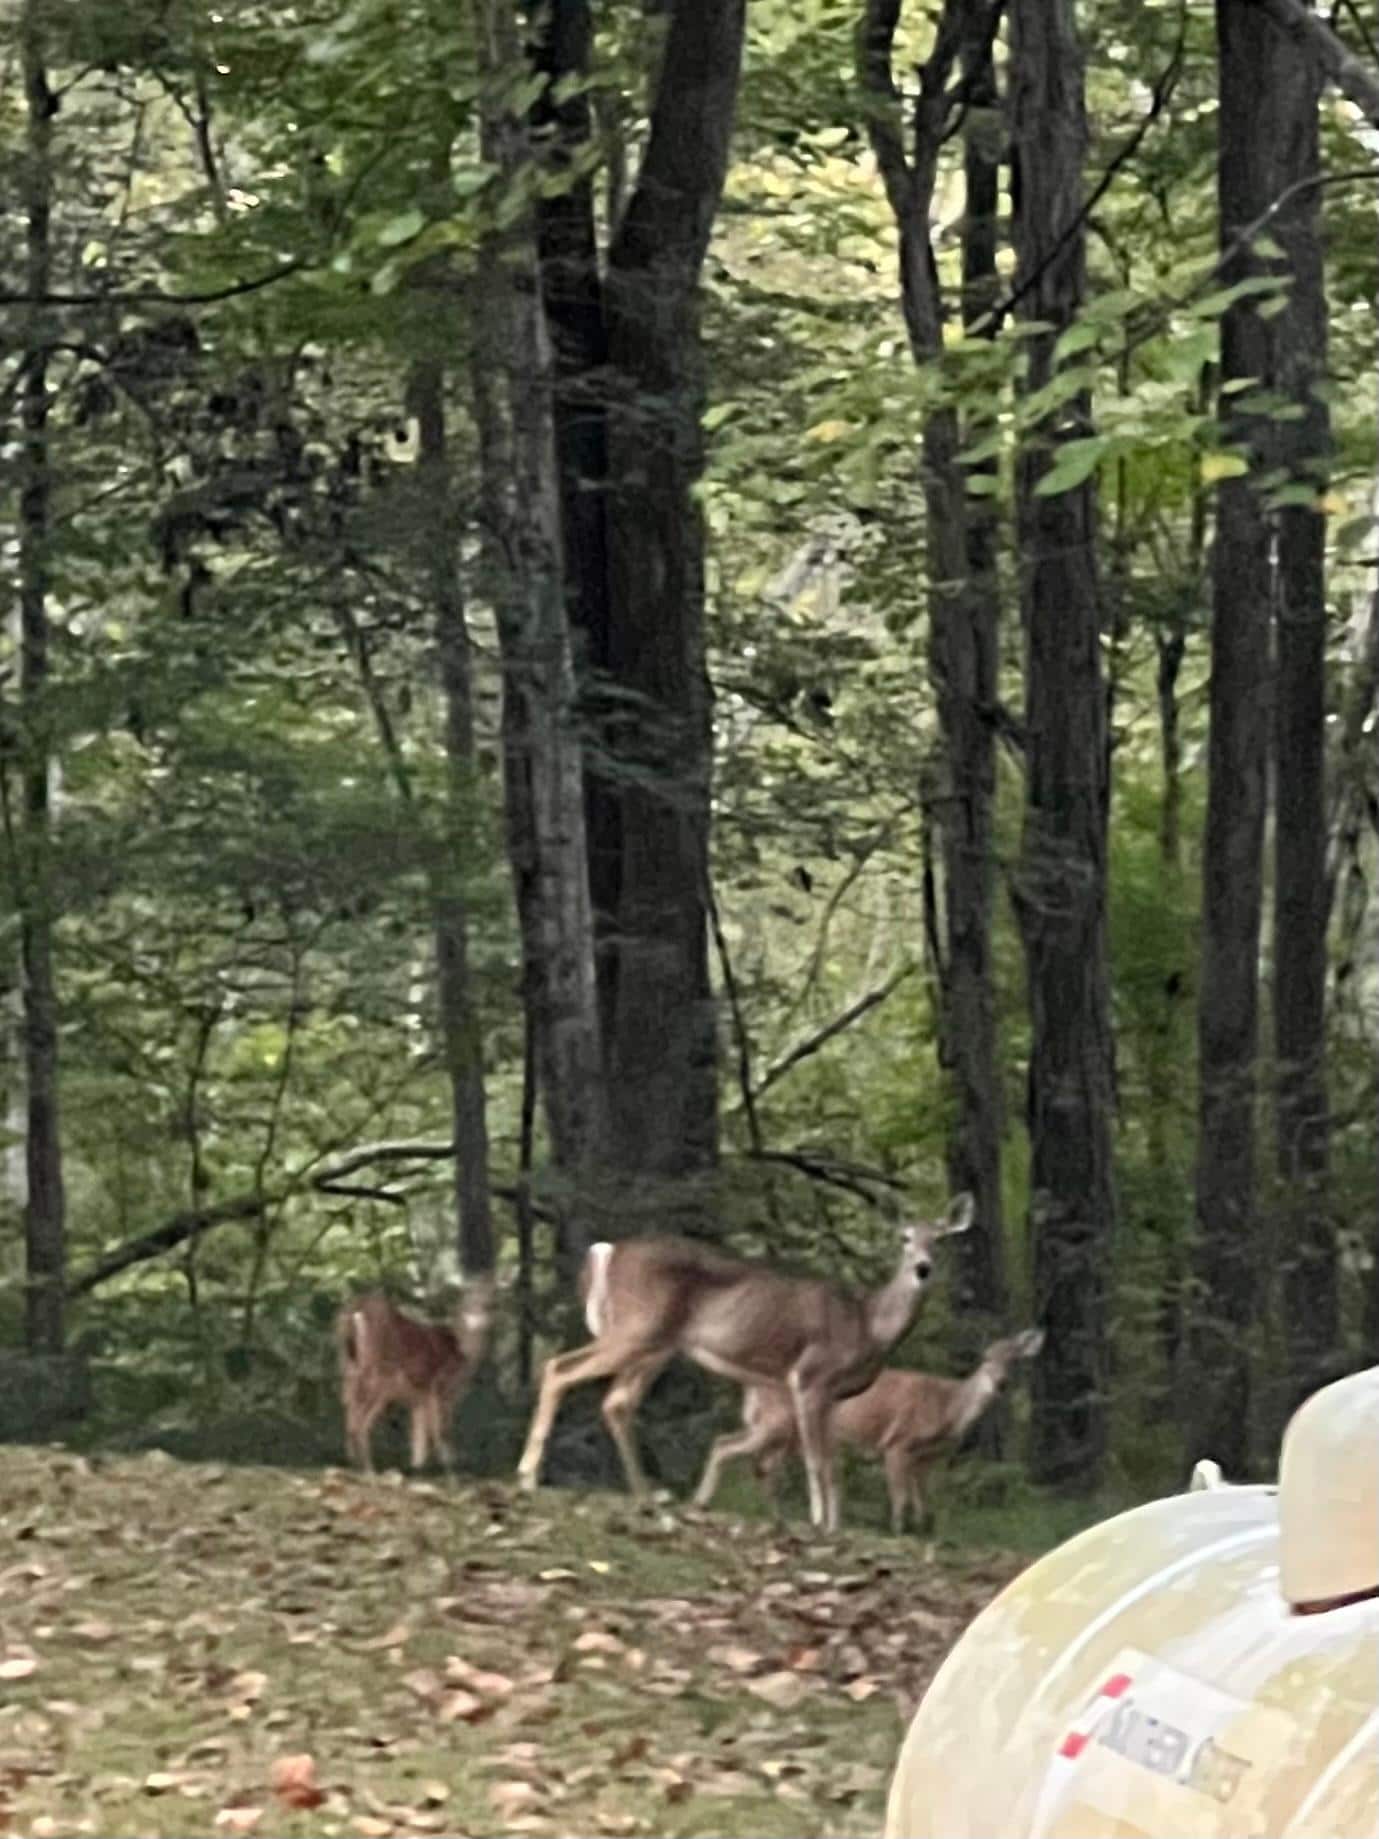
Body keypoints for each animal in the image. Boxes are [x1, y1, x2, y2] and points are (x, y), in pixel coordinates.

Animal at [337, 1277, 493, 1476]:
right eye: (466, 1300)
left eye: (490, 1301)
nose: (478, 1320)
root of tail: (356, 1311)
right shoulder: (441, 1389)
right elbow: (441, 1430)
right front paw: (449, 1468)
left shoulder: (418, 1397)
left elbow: (419, 1437)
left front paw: (417, 1469)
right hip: (379, 1375)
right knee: (359, 1421)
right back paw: (368, 1469)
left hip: (348, 1367)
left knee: (349, 1411)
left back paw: (352, 1463)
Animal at [515, 1194, 974, 1532]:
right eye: (904, 1238)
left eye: (940, 1239)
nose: (923, 1268)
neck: (867, 1325)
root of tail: (607, 1251)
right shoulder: (809, 1376)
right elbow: (816, 1459)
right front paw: (819, 1522)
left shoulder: (835, 1395)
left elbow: (834, 1466)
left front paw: (834, 1525)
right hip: (636, 1329)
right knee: (559, 1368)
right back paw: (528, 1476)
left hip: (656, 1345)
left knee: (616, 1401)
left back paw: (646, 1497)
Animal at [699, 1326, 1045, 1534]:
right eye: (986, 1359)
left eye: (1014, 1361)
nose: (1000, 1383)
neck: (947, 1409)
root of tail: (749, 1384)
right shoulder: (898, 1442)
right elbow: (900, 1497)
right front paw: (899, 1532)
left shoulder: (928, 1459)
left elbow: (923, 1501)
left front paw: (925, 1530)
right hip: (778, 1421)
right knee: (726, 1445)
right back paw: (703, 1501)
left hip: (783, 1432)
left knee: (761, 1464)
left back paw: (780, 1519)